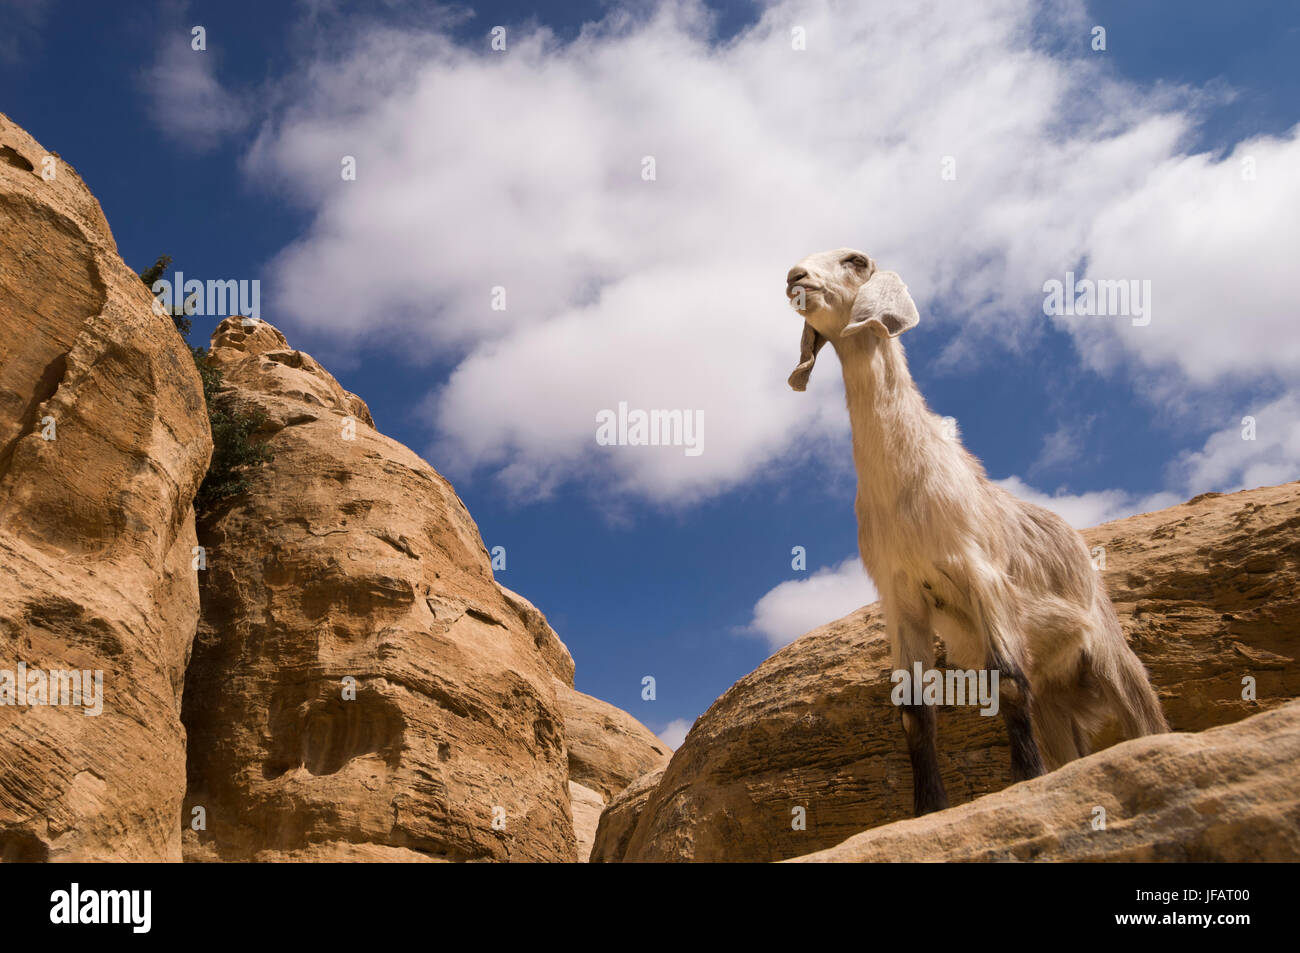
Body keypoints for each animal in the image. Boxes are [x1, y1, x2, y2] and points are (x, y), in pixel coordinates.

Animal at [784, 248, 1167, 816]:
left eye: (855, 260)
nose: (796, 277)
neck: (908, 484)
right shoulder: (900, 595)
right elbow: (914, 712)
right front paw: (929, 809)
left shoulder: (982, 574)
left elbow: (1006, 683)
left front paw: (1026, 781)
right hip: (1055, 695)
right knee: (1067, 743)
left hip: (1111, 654)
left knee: (1145, 720)